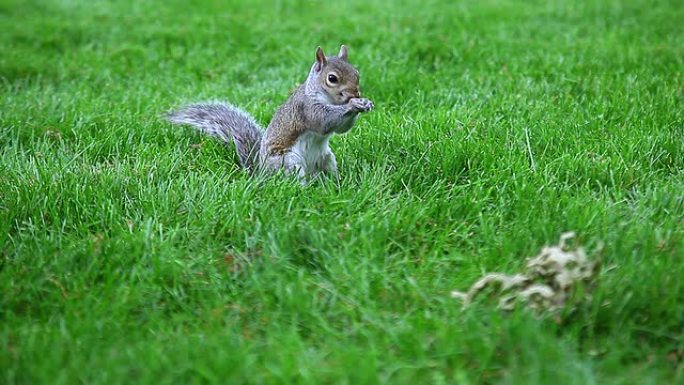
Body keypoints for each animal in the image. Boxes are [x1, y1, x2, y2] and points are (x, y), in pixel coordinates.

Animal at [169, 45, 376, 180]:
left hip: (326, 159)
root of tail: (261, 175)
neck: (327, 98)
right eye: (332, 78)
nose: (355, 93)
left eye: (356, 73)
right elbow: (325, 122)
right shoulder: (306, 109)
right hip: (289, 163)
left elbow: (341, 128)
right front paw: (353, 105)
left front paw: (364, 103)